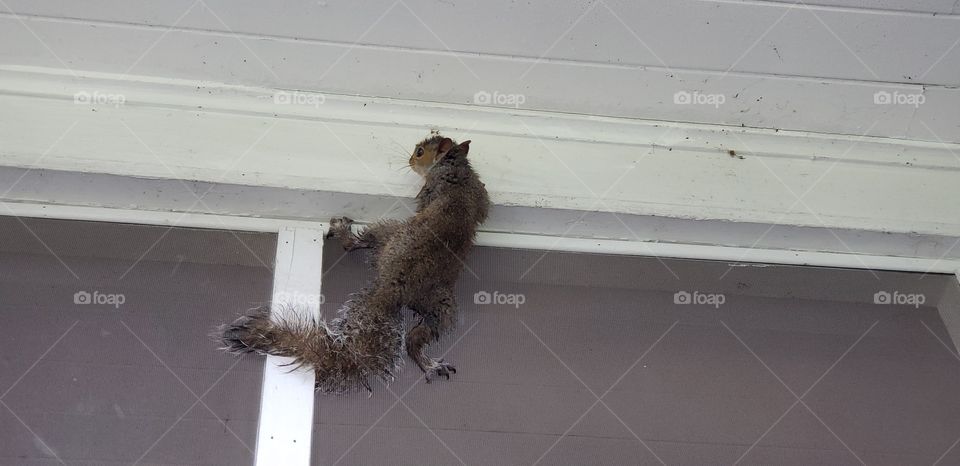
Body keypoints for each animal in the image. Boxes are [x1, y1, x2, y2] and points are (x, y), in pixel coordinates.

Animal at [220, 134, 490, 393]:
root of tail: (393, 289)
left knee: (356, 245)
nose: (410, 160)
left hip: (390, 235)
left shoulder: (432, 189)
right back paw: (430, 364)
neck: (455, 166)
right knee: (415, 338)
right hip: (439, 305)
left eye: (420, 152)